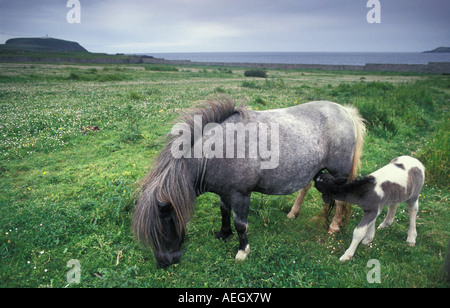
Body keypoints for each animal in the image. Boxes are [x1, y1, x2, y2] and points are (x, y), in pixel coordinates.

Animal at [133, 97, 366, 268]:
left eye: (164, 227)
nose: (163, 263)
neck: (215, 151)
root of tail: (346, 111)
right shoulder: (224, 192)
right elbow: (224, 212)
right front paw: (223, 233)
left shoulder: (240, 194)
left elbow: (241, 224)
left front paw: (242, 251)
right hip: (315, 170)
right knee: (307, 188)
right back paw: (293, 213)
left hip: (338, 172)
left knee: (340, 198)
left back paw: (334, 226)